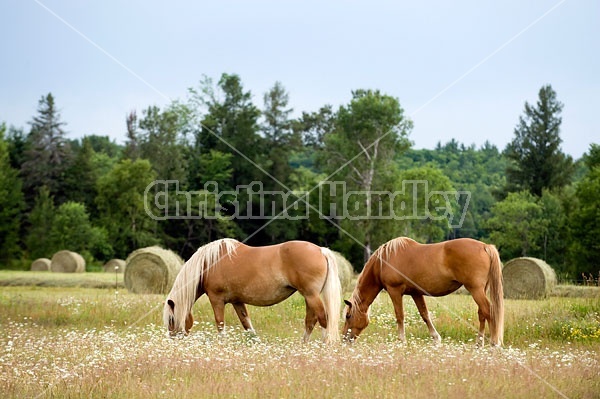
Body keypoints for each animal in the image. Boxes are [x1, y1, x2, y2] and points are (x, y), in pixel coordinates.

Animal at [164, 239, 342, 346]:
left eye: (171, 319)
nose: (173, 341)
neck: (208, 264)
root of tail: (321, 250)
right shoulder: (237, 301)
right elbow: (247, 325)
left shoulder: (217, 299)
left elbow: (220, 324)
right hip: (309, 297)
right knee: (311, 321)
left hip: (311, 295)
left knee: (323, 319)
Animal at [344, 238, 504, 346]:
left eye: (348, 316)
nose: (345, 339)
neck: (383, 262)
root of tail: (484, 246)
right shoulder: (416, 293)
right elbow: (425, 314)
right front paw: (436, 339)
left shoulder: (394, 291)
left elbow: (400, 316)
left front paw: (401, 340)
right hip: (480, 290)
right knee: (482, 314)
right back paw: (479, 343)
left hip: (476, 290)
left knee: (489, 312)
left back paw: (494, 343)